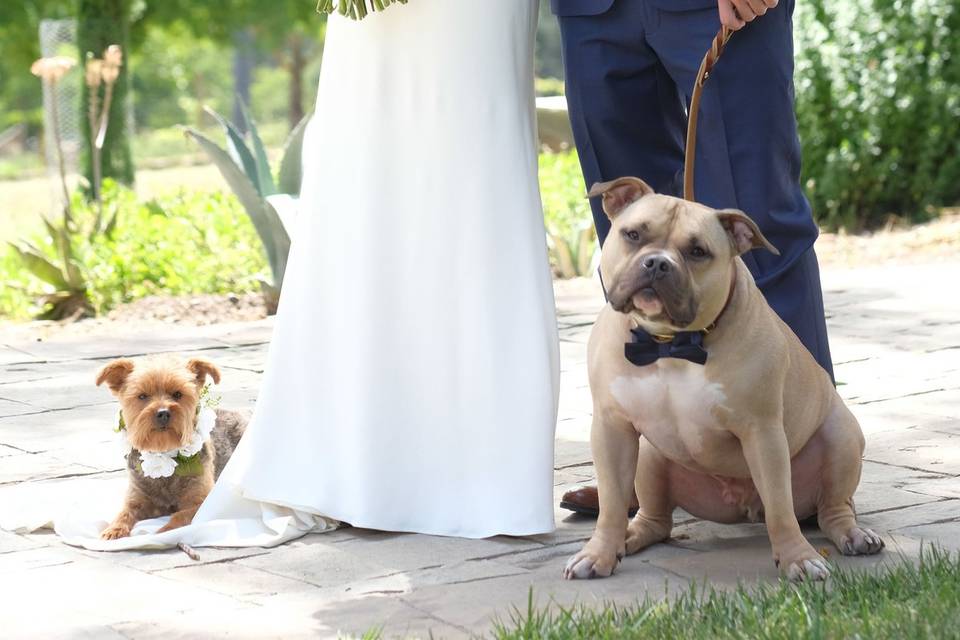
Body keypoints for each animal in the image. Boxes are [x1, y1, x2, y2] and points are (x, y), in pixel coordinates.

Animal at [96, 356, 248, 540]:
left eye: (178, 394)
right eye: (142, 396)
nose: (163, 412)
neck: (163, 452)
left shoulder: (201, 501)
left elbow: (180, 516)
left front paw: (165, 531)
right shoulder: (137, 498)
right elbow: (124, 512)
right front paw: (114, 529)